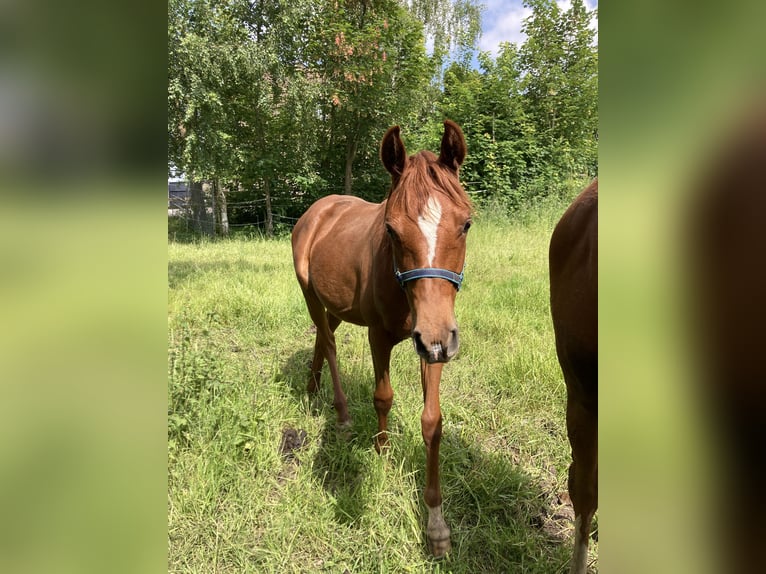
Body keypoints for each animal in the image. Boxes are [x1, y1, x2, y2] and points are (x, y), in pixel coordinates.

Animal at [294, 121, 474, 560]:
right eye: (391, 229)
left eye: (465, 224)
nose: (439, 339)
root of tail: (316, 212)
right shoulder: (381, 336)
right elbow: (383, 397)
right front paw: (382, 452)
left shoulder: (431, 342)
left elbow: (432, 421)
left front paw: (436, 525)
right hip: (310, 295)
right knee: (329, 345)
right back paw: (341, 417)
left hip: (334, 306)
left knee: (322, 339)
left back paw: (311, 389)